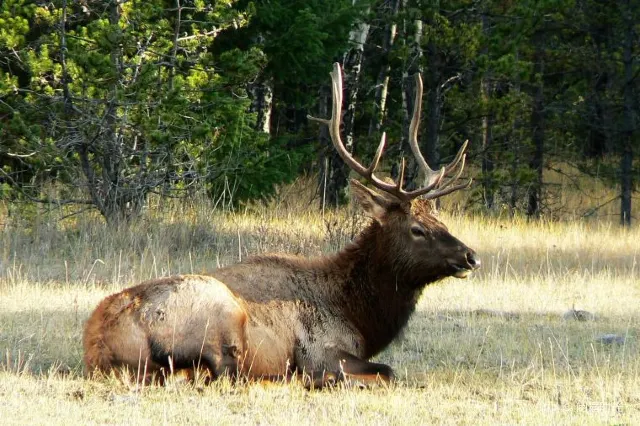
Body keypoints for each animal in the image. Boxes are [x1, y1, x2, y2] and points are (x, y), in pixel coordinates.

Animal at [82, 62, 478, 386]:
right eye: (417, 229)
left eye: (440, 219)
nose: (471, 256)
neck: (359, 316)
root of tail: (97, 344)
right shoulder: (321, 350)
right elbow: (387, 371)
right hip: (220, 316)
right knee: (221, 373)